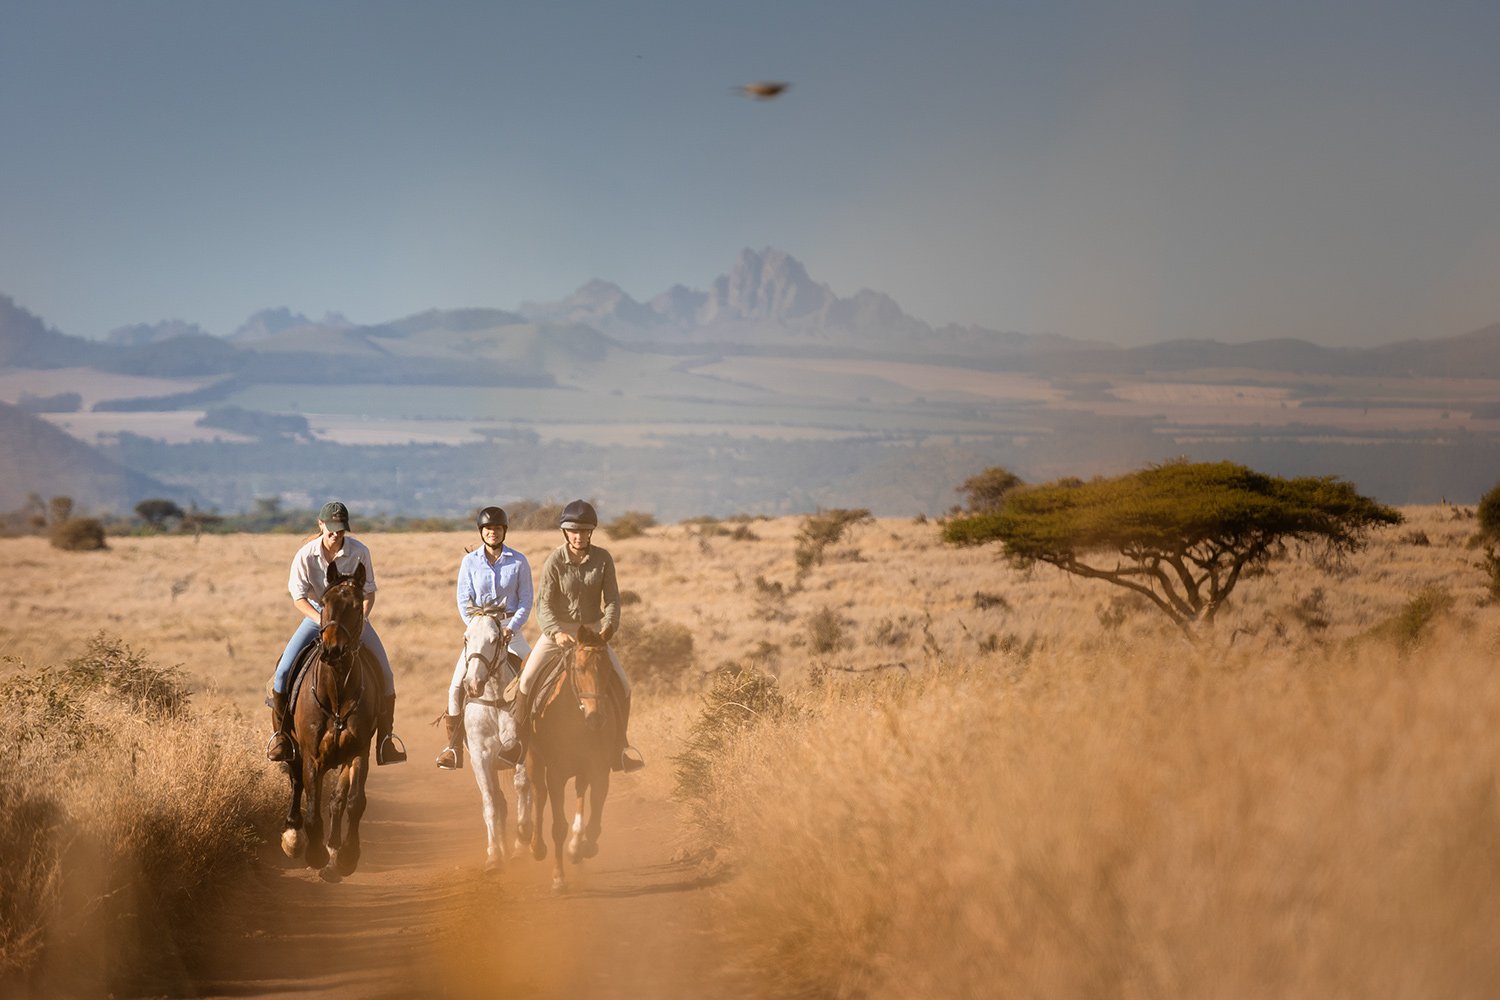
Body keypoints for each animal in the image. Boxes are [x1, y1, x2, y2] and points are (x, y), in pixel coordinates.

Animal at [279, 562, 379, 883]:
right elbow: (312, 808)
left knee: (337, 800)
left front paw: (346, 857)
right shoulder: (312, 756)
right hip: (293, 748)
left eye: (357, 606)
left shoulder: (358, 753)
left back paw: (334, 853)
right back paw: (293, 837)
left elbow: (353, 802)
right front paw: (314, 853)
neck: (336, 693)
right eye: (324, 603)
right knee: (296, 782)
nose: (332, 650)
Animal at [457, 603, 530, 871]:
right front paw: (494, 856)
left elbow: (523, 791)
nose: (473, 684)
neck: (496, 700)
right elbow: (491, 804)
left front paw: (521, 844)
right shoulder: (481, 759)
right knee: (500, 803)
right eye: (467, 638)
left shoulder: (521, 752)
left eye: (494, 639)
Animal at [518, 628, 621, 891]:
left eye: (607, 668)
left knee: (580, 793)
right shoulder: (556, 774)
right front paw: (558, 876)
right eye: (579, 668)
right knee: (539, 794)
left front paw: (583, 848)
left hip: (581, 769)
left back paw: (576, 849)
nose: (596, 718)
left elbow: (594, 823)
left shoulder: (599, 770)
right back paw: (537, 847)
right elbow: (558, 826)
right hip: (534, 761)